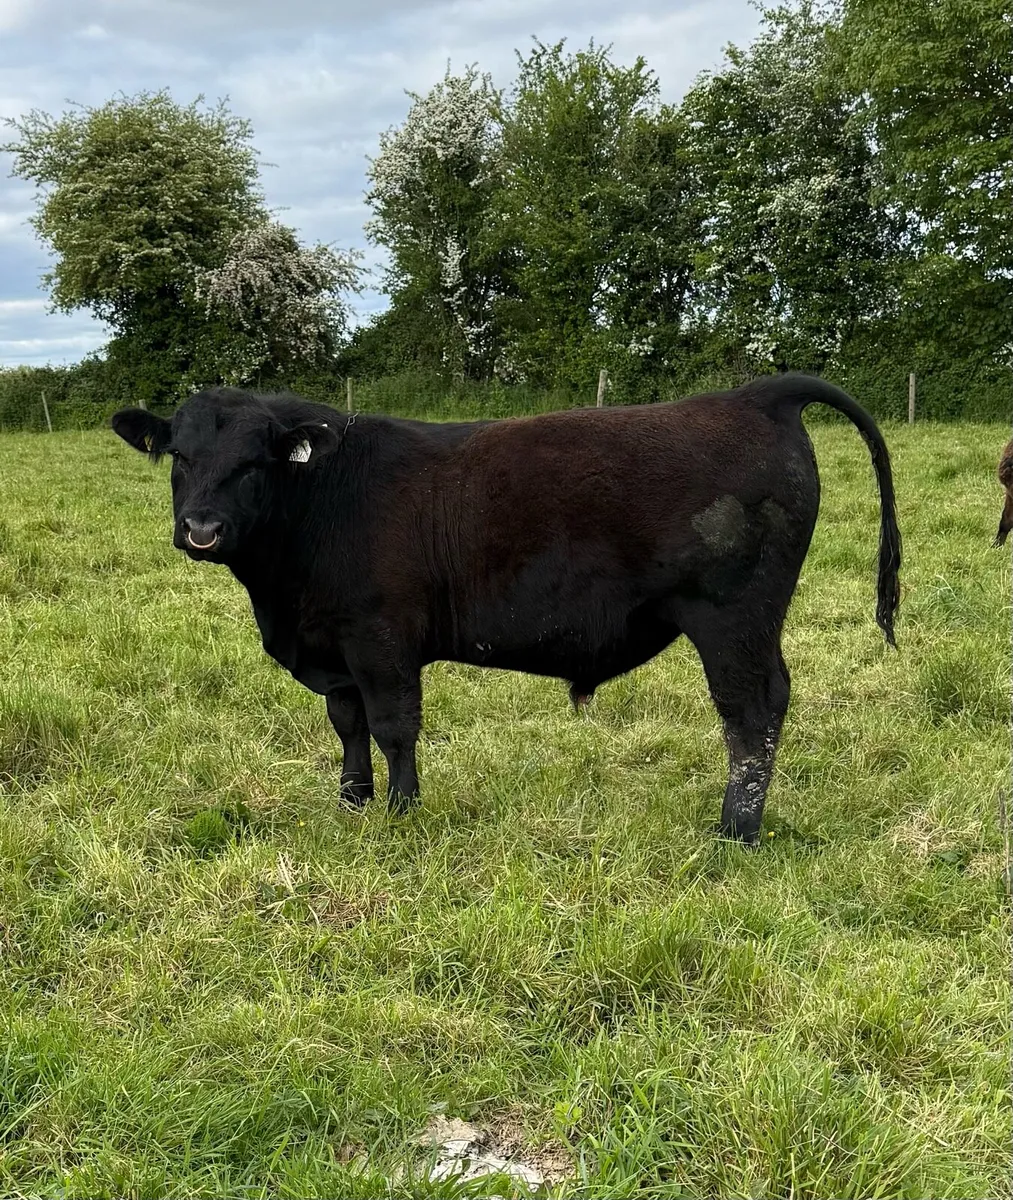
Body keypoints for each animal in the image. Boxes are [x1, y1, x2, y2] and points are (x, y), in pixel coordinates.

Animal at [111, 373, 901, 845]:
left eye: (253, 463)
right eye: (180, 456)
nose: (202, 529)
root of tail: (755, 393)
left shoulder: (381, 638)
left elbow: (395, 726)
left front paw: (400, 812)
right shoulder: (334, 649)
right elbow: (348, 724)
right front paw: (352, 800)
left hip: (731, 619)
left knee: (750, 713)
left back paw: (734, 830)